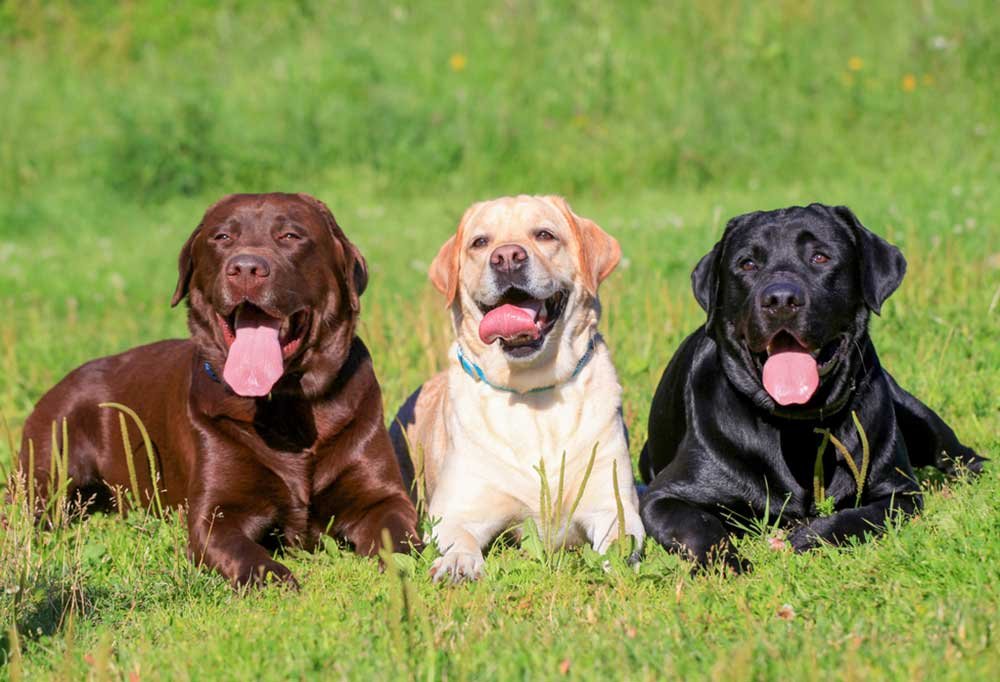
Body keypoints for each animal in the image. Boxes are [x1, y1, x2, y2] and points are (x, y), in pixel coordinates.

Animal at [640, 202, 984, 564]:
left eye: (820, 257)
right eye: (747, 264)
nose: (780, 299)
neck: (798, 426)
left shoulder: (898, 492)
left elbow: (854, 516)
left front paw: (807, 536)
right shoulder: (664, 497)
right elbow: (701, 527)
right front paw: (727, 564)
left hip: (917, 415)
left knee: (959, 455)